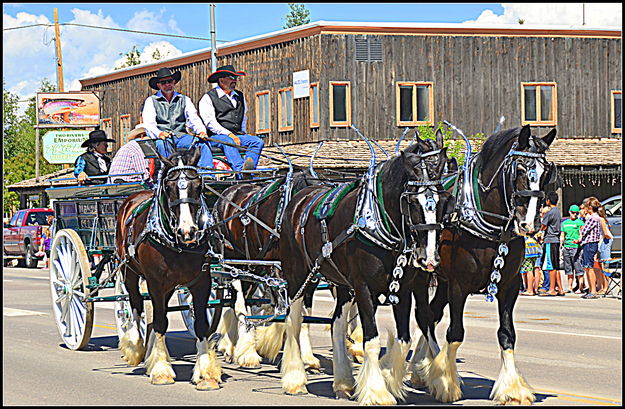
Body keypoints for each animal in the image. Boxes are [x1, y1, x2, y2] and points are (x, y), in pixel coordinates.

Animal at [114, 148, 222, 390]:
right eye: (169, 188)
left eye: (198, 185)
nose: (187, 231)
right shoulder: (156, 282)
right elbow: (160, 321)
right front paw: (162, 370)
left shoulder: (202, 282)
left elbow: (201, 324)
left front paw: (205, 373)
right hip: (129, 273)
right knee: (136, 306)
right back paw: (137, 349)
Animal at [280, 132, 454, 404]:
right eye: (412, 201)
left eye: (443, 199)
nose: (428, 257)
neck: (380, 222)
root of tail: (299, 198)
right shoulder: (363, 288)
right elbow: (371, 340)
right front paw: (376, 391)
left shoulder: (403, 288)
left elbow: (404, 340)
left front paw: (389, 379)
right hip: (298, 275)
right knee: (294, 321)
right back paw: (295, 378)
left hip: (341, 282)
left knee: (337, 323)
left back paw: (343, 382)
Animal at [410, 125, 556, 404]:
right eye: (520, 170)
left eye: (546, 173)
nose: (529, 224)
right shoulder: (459, 285)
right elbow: (455, 332)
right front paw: (446, 383)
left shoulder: (509, 285)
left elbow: (507, 334)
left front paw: (512, 389)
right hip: (423, 275)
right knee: (424, 316)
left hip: (442, 281)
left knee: (432, 314)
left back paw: (420, 368)